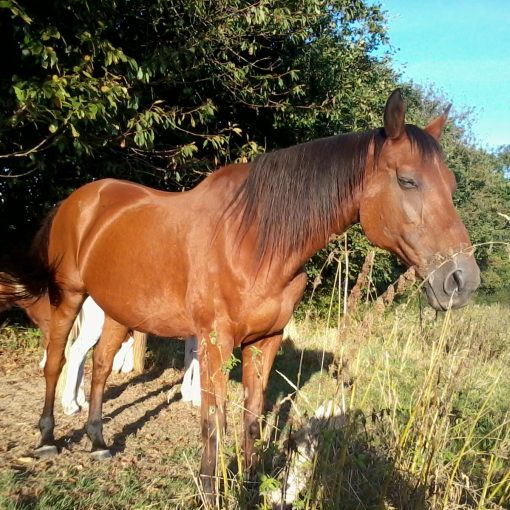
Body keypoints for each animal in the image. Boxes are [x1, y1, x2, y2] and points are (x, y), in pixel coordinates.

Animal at [0, 89, 478, 496]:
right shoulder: (215, 343)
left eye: (452, 185)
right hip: (69, 295)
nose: (462, 280)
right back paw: (47, 437)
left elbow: (250, 418)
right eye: (408, 181)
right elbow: (215, 421)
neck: (253, 240)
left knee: (99, 366)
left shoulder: (265, 341)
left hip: (118, 307)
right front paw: (211, 489)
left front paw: (248, 484)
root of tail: (79, 200)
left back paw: (99, 441)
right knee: (57, 361)